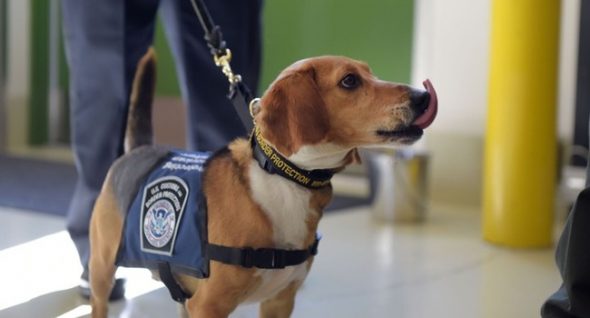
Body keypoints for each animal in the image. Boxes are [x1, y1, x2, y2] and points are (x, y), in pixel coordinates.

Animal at [89, 49, 440, 318]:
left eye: (370, 73)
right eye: (349, 81)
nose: (423, 97)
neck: (286, 178)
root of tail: (140, 149)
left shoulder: (279, 302)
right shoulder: (208, 306)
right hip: (102, 270)